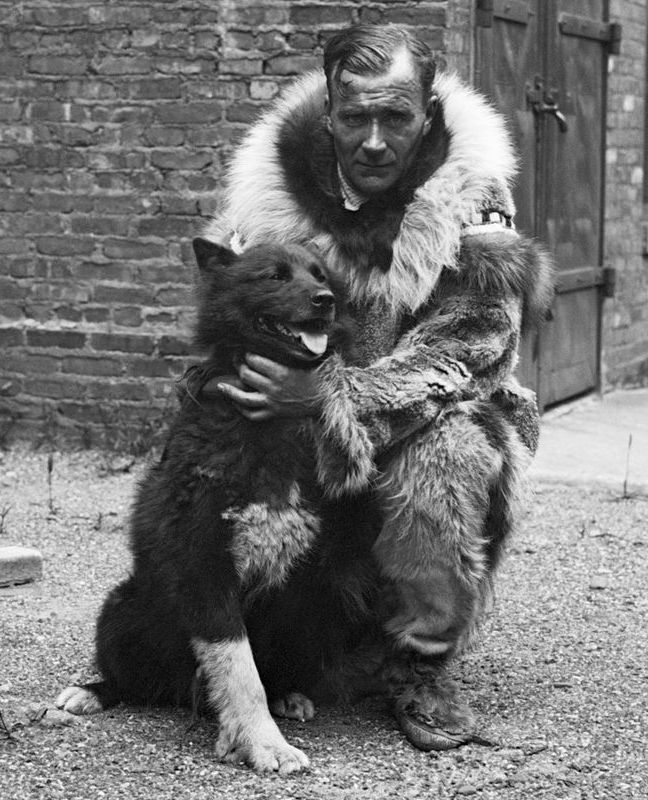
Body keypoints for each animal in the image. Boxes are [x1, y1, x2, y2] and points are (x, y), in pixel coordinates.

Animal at [56, 238, 356, 776]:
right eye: (275, 276)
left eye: (320, 275)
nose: (325, 300)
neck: (267, 425)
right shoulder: (205, 569)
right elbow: (239, 670)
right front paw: (263, 742)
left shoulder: (298, 578)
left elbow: (250, 672)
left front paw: (254, 730)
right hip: (123, 609)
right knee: (134, 681)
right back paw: (94, 692)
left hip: (309, 614)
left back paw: (284, 696)